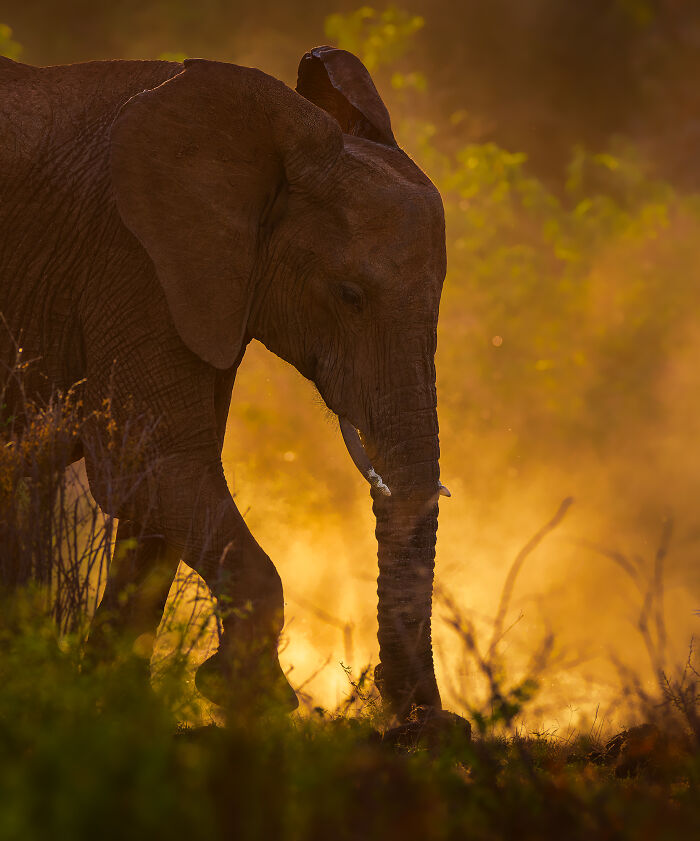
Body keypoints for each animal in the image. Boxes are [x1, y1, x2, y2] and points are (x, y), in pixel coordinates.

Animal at [0, 45, 449, 719]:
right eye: (350, 295)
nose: (423, 723)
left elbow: (160, 488)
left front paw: (115, 704)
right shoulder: (131, 256)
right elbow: (158, 465)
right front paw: (246, 695)